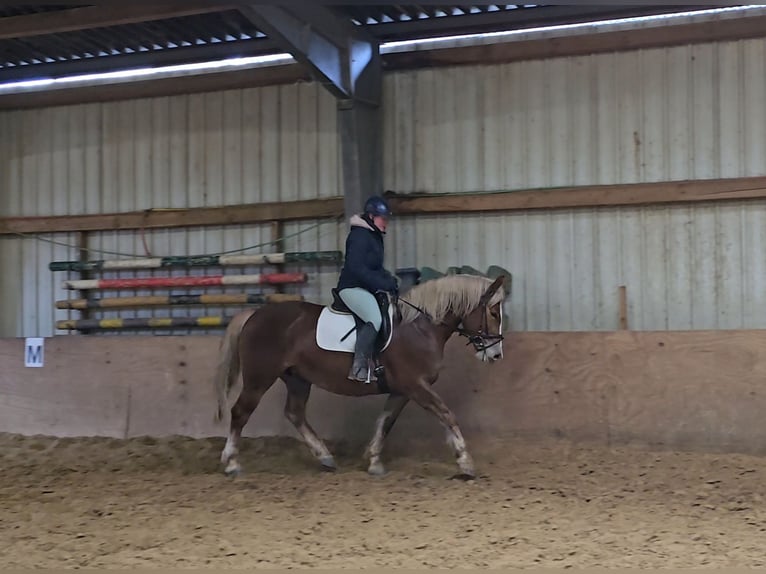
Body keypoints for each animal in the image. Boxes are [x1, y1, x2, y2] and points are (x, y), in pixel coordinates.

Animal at [213, 274, 508, 482]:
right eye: (494, 313)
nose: (495, 354)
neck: (419, 329)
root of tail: (254, 314)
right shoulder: (416, 385)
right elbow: (447, 414)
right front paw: (465, 463)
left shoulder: (401, 390)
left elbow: (386, 422)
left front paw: (374, 461)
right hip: (259, 378)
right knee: (240, 412)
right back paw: (232, 463)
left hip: (297, 379)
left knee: (295, 413)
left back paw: (325, 457)